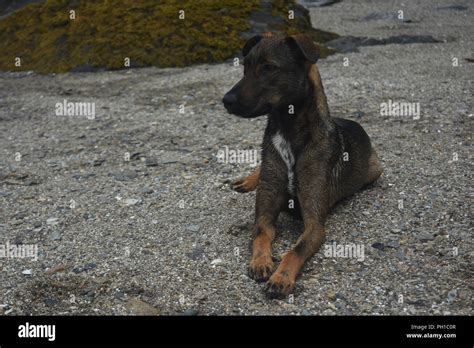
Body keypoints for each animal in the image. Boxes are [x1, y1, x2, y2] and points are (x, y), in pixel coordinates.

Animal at [221, 33, 382, 300]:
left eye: (269, 67)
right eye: (245, 66)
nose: (226, 101)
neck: (288, 129)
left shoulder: (315, 225)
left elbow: (295, 250)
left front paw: (281, 277)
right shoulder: (264, 213)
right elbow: (260, 236)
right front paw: (260, 262)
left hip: (376, 169)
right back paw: (248, 180)